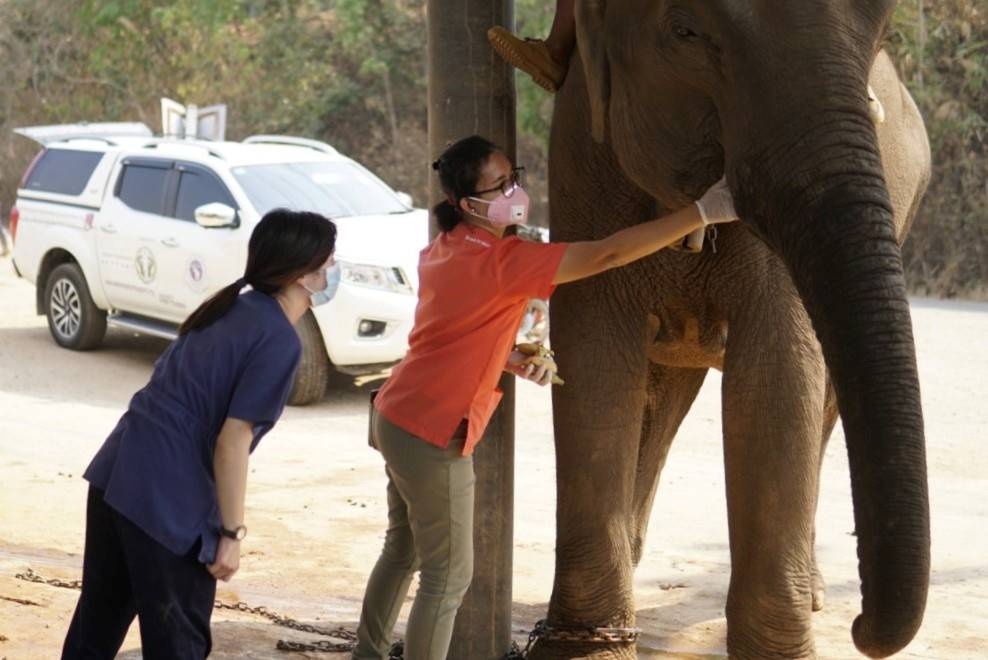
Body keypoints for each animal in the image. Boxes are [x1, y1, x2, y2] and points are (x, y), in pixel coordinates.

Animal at [528, 1, 932, 660]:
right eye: (685, 32)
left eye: (881, 34)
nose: (861, 628)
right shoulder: (579, 160)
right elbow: (593, 352)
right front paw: (584, 648)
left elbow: (779, 370)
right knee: (664, 390)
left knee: (822, 401)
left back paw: (813, 591)